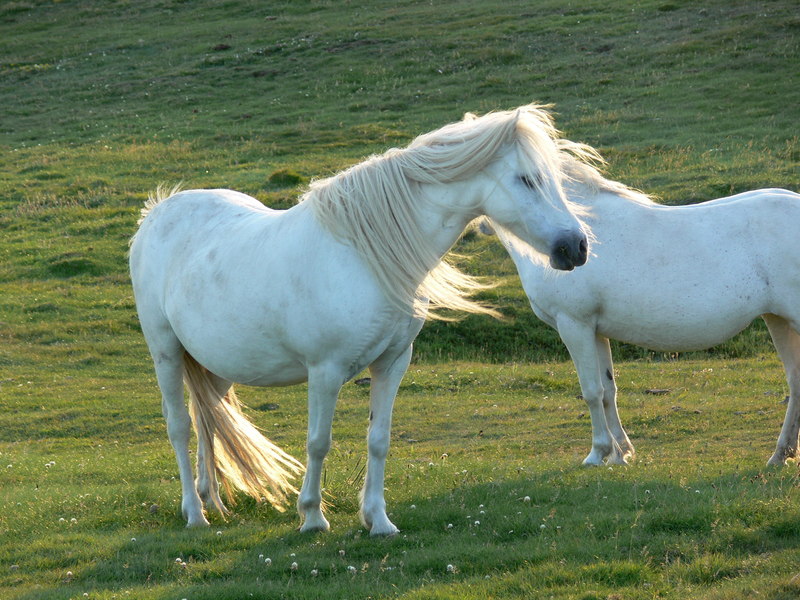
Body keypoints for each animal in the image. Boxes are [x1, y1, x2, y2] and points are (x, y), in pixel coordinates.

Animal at [130, 104, 588, 536]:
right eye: (527, 179)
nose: (577, 247)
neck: (363, 256)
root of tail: (157, 212)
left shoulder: (392, 363)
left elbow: (379, 439)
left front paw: (378, 521)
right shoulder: (325, 371)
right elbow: (318, 442)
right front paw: (312, 517)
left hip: (218, 363)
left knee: (207, 420)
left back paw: (213, 502)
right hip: (166, 352)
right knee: (180, 426)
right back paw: (195, 514)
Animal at [494, 143, 800, 466]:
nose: (575, 251)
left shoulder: (573, 325)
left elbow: (591, 391)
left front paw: (598, 454)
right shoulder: (595, 331)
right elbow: (608, 390)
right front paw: (621, 453)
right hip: (778, 319)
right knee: (795, 381)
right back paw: (781, 454)